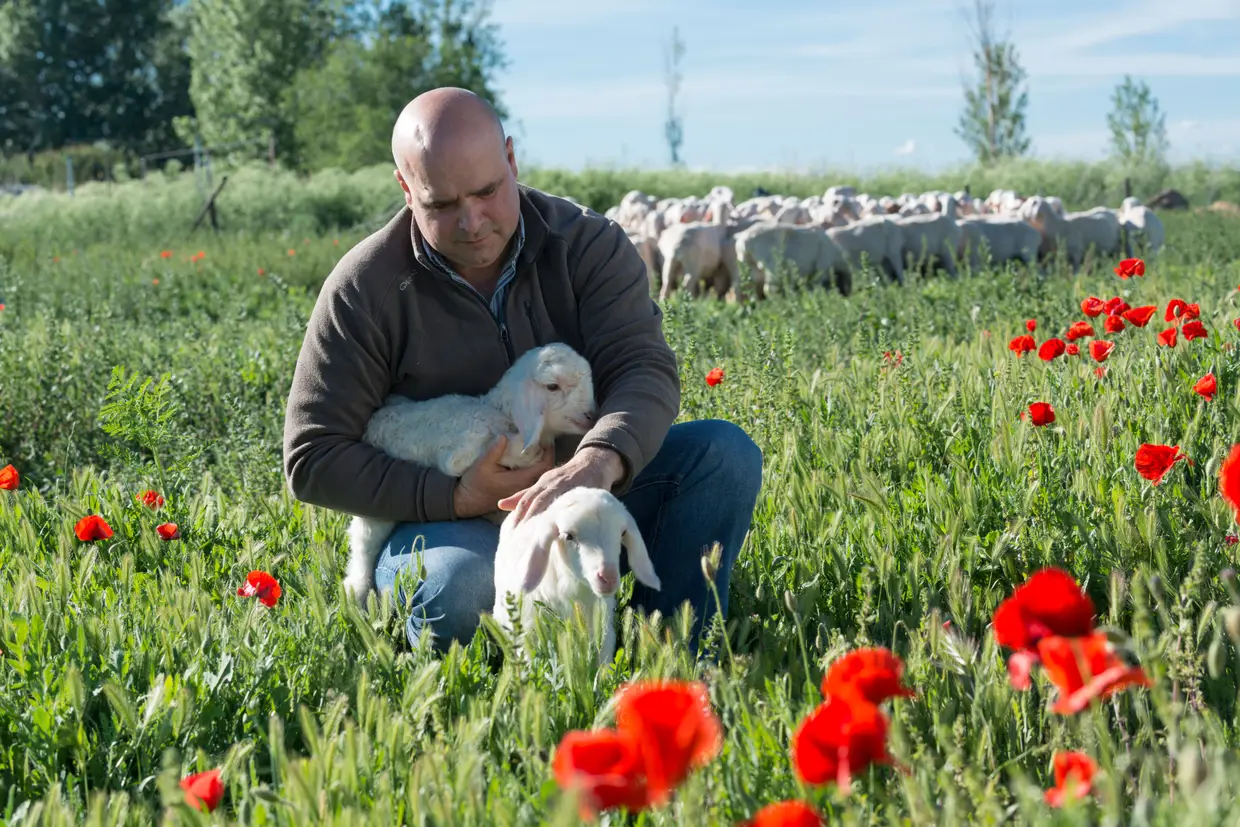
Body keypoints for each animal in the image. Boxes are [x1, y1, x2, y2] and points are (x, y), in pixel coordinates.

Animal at [342, 342, 597, 602]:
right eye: (552, 386)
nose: (591, 416)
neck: (502, 414)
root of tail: (373, 424)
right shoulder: (459, 451)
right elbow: (493, 447)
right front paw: (523, 452)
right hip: (375, 513)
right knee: (363, 544)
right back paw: (357, 591)